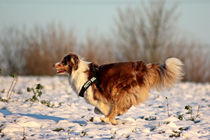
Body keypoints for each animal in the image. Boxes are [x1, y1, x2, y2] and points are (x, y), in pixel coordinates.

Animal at [53, 52, 183, 124]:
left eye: (63, 62)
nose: (54, 64)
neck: (76, 69)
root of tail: (143, 67)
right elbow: (98, 109)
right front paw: (113, 120)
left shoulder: (94, 96)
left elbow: (102, 108)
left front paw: (109, 118)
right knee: (126, 104)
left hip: (119, 89)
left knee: (119, 105)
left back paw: (108, 119)